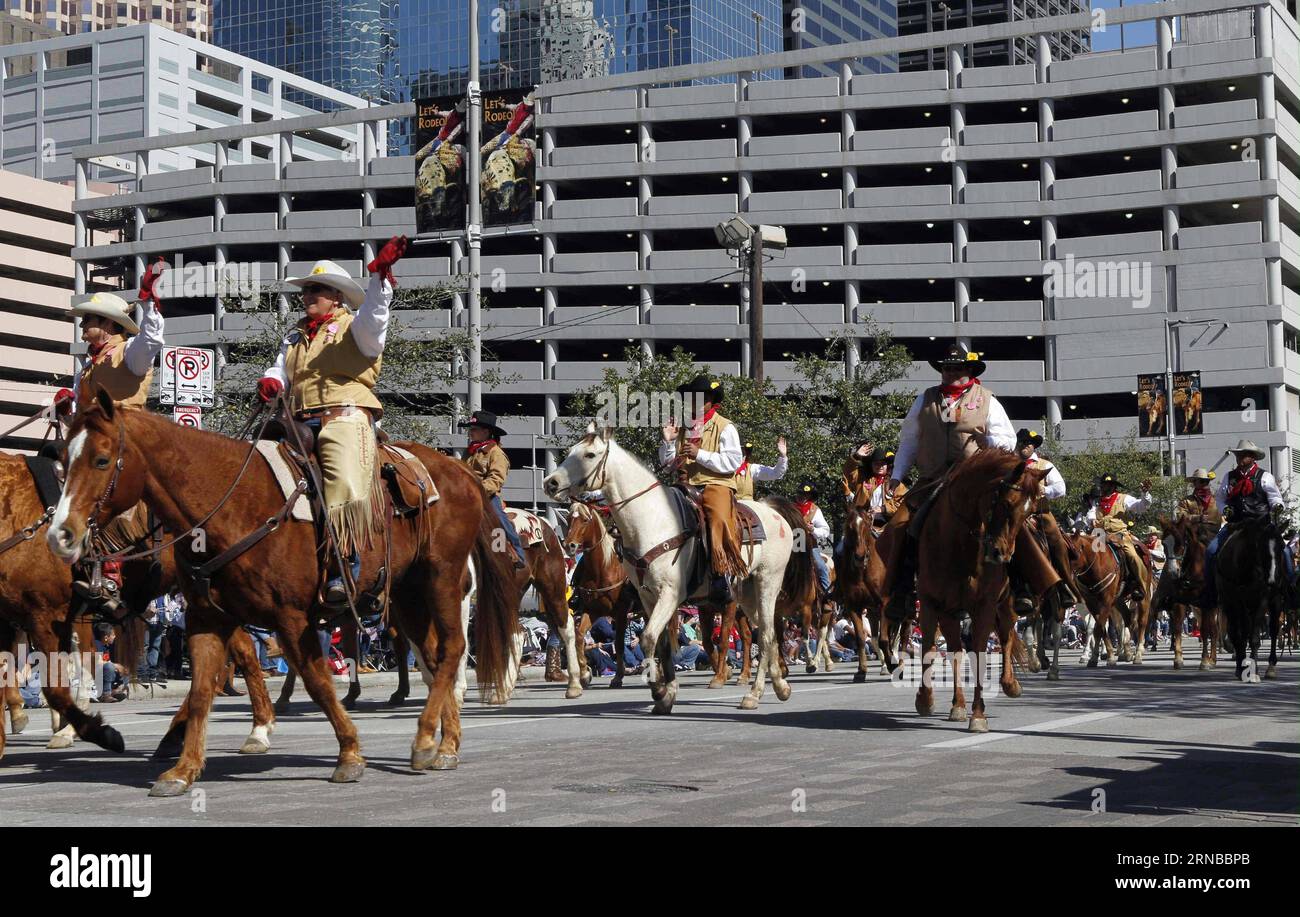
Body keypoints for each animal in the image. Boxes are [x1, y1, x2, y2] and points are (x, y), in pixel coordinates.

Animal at [50, 392, 517, 796]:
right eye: (63, 459)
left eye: (102, 459)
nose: (61, 535)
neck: (232, 504)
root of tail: (460, 473)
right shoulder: (208, 618)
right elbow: (202, 690)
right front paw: (182, 768)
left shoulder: (292, 618)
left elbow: (317, 681)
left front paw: (349, 754)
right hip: (407, 594)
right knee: (436, 659)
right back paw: (445, 744)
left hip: (441, 580)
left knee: (453, 649)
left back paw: (424, 739)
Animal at [540, 429, 811, 717]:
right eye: (570, 451)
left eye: (590, 455)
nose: (551, 483)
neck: (652, 522)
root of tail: (773, 512)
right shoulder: (648, 597)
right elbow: (662, 644)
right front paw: (667, 694)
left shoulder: (669, 594)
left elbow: (648, 639)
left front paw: (659, 690)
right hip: (746, 594)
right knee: (765, 634)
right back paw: (779, 686)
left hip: (766, 583)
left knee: (768, 634)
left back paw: (754, 693)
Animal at [909, 455, 1050, 733]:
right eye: (1006, 503)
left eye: (1029, 512)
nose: (1001, 554)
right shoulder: (932, 605)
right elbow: (931, 648)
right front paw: (925, 700)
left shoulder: (983, 607)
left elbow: (982, 654)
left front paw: (978, 715)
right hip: (951, 614)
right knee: (955, 651)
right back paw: (957, 705)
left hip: (1006, 606)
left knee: (1006, 638)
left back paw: (1010, 684)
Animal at [1066, 530, 1149, 665]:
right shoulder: (1088, 605)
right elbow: (1095, 628)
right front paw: (1093, 655)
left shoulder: (1105, 602)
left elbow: (1097, 627)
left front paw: (1101, 655)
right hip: (1118, 602)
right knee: (1125, 621)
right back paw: (1125, 652)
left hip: (1141, 598)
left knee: (1139, 622)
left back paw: (1136, 653)